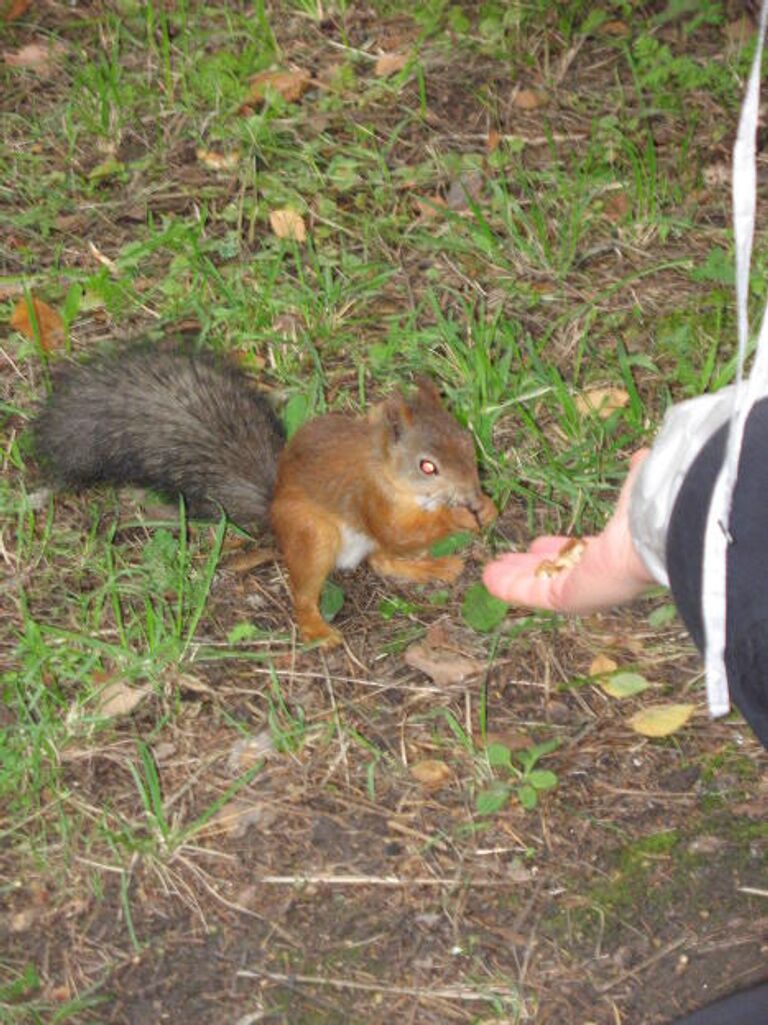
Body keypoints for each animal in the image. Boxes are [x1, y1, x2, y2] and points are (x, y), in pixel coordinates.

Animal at [33, 348, 498, 643]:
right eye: (427, 467)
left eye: (466, 440)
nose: (472, 491)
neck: (390, 475)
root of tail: (272, 512)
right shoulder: (367, 499)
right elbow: (397, 531)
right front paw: (459, 516)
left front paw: (486, 508)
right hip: (313, 534)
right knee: (309, 590)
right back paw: (316, 629)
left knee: (383, 561)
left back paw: (435, 567)